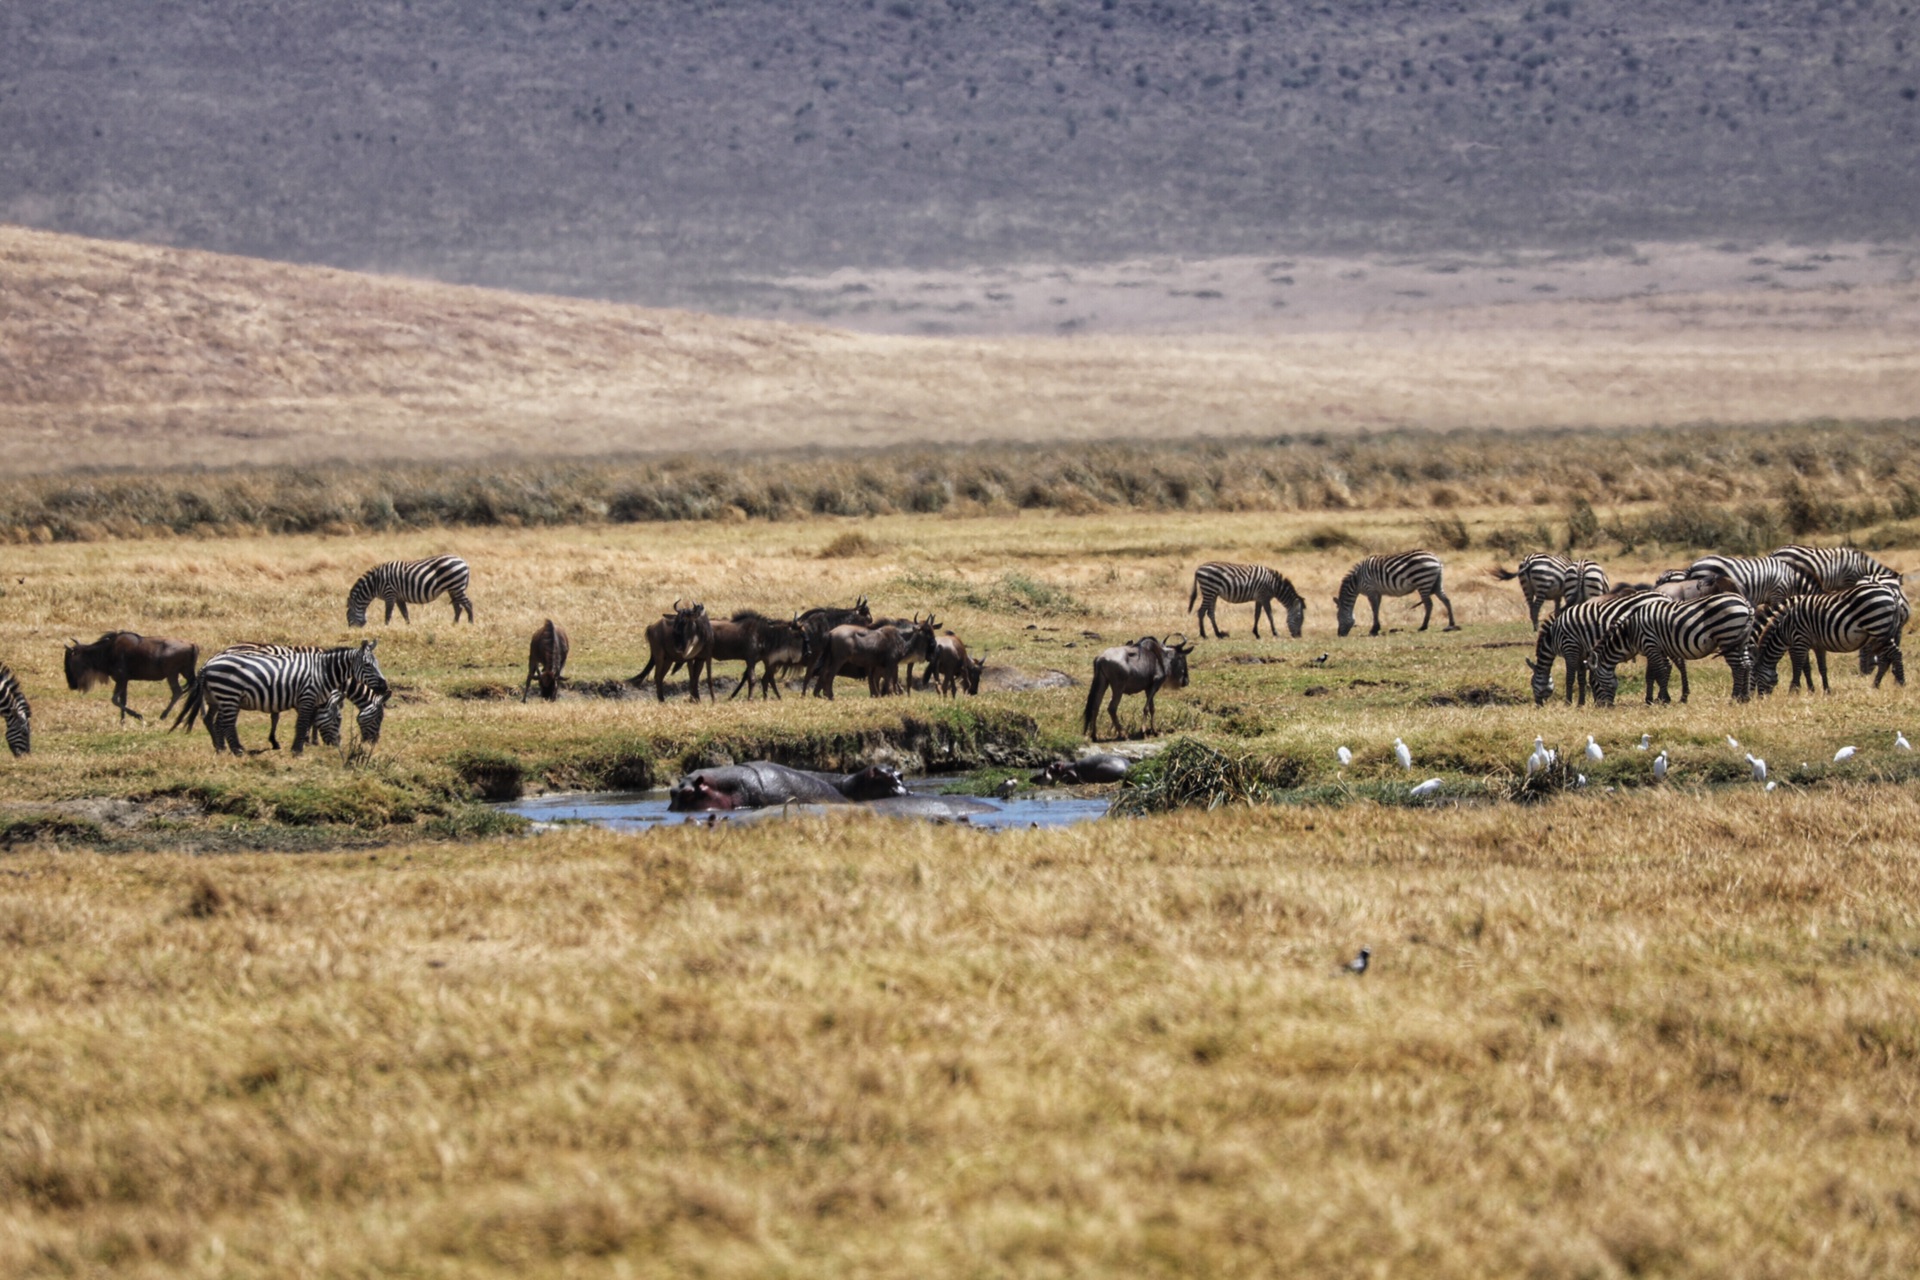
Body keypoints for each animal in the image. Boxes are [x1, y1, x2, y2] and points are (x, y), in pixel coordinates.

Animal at [176, 637, 389, 752]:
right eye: (378, 718)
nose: (373, 743)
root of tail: (210, 661)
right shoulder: (309, 694)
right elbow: (309, 719)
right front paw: (309, 741)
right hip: (226, 696)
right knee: (220, 720)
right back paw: (230, 747)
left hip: (215, 697)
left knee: (210, 718)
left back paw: (219, 746)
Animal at [1520, 594, 1658, 710]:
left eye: (1532, 684)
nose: (1538, 706)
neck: (1552, 638)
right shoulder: (1581, 654)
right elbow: (1581, 678)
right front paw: (1581, 703)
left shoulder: (1570, 648)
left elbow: (1569, 678)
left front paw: (1568, 703)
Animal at [1582, 594, 1751, 706]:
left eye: (1594, 682)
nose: (1601, 706)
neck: (1630, 633)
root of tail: (1744, 602)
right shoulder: (1657, 648)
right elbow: (1654, 673)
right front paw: (1654, 699)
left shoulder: (1650, 644)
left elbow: (1660, 671)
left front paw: (1663, 700)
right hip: (1741, 640)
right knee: (1747, 664)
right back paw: (1745, 697)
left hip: (1728, 636)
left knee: (1737, 667)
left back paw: (1734, 698)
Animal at [1758, 583, 1904, 694]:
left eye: (1755, 675)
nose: (1760, 699)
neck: (1785, 629)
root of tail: (1891, 593)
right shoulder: (1817, 645)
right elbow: (1819, 667)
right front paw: (1823, 690)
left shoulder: (1799, 640)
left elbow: (1798, 666)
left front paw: (1793, 690)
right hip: (1881, 633)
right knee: (1886, 658)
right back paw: (1876, 685)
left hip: (1878, 627)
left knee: (1895, 654)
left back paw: (1900, 683)